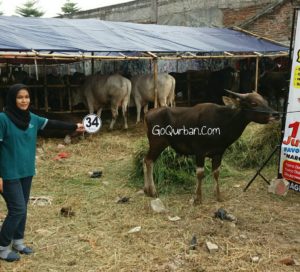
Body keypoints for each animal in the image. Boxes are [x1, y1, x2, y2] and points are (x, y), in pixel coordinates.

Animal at [144, 91, 278, 204]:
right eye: (254, 103)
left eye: (266, 102)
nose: (275, 115)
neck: (222, 121)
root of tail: (148, 114)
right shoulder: (199, 152)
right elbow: (200, 173)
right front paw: (198, 198)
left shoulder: (218, 153)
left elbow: (216, 173)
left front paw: (218, 196)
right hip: (157, 143)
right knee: (149, 161)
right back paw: (153, 191)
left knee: (145, 160)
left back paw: (146, 190)